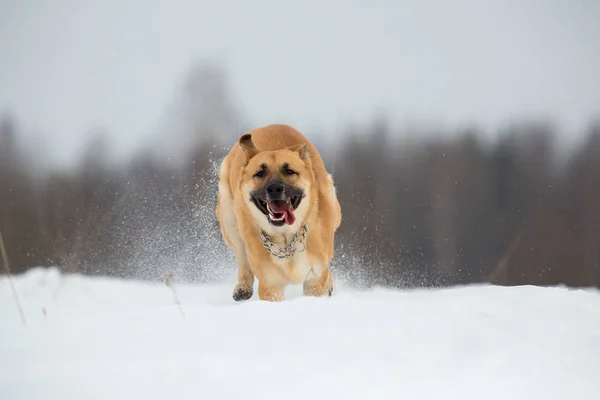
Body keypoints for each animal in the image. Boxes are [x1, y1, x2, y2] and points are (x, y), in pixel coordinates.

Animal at [217, 123, 342, 302]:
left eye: (289, 171)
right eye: (260, 173)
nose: (274, 188)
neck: (286, 239)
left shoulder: (315, 279)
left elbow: (318, 281)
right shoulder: (270, 285)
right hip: (229, 221)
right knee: (241, 256)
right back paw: (243, 288)